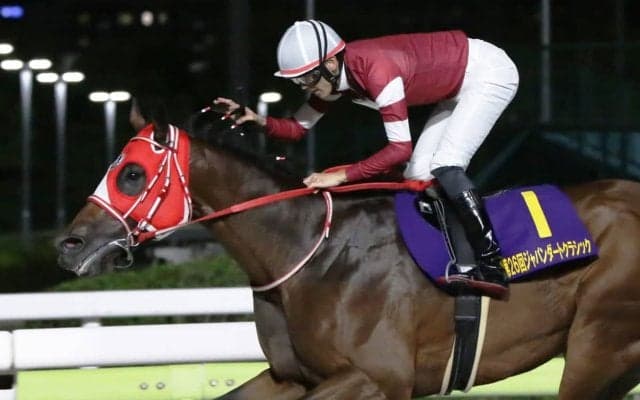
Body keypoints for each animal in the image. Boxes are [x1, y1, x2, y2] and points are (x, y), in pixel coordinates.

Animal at [56, 106, 640, 399]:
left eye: (132, 174)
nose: (69, 245)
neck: (309, 252)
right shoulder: (292, 377)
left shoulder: (379, 377)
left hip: (598, 346)